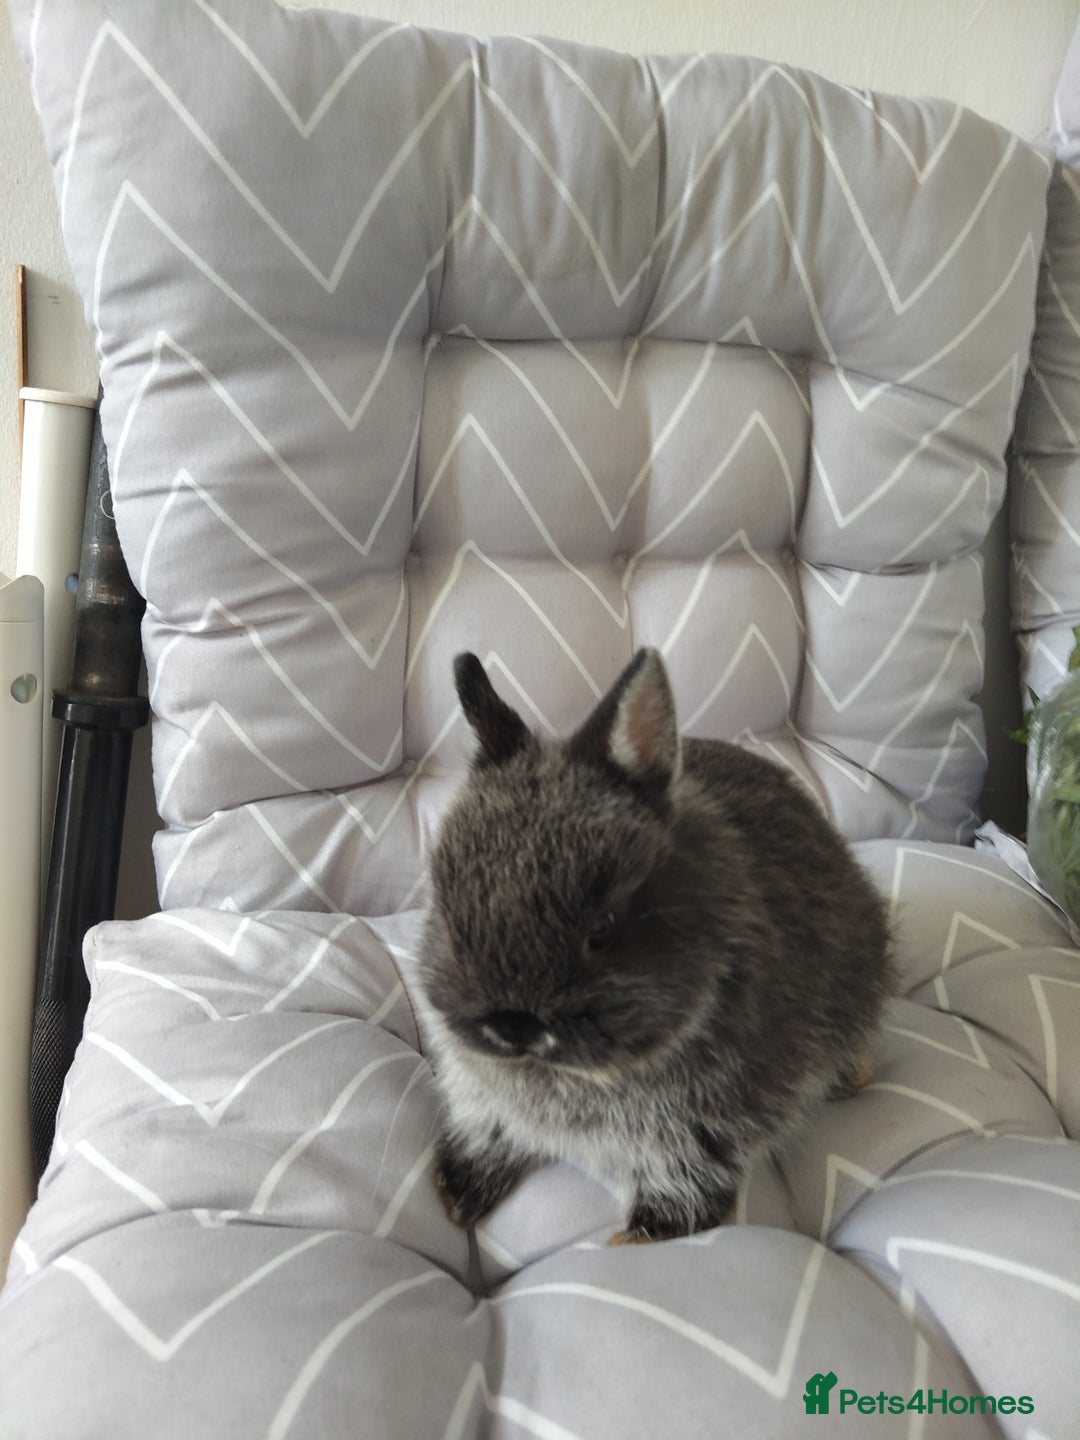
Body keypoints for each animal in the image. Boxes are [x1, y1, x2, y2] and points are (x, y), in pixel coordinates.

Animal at [417, 647, 894, 1243]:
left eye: (603, 926)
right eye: (444, 903)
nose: (512, 1027)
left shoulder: (704, 1127)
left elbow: (685, 1173)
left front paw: (642, 1234)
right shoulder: (483, 1096)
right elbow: (493, 1128)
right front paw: (457, 1191)